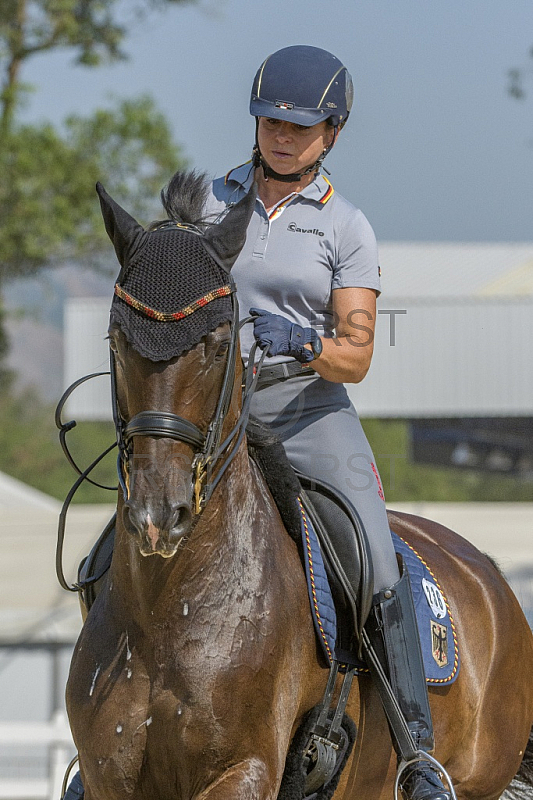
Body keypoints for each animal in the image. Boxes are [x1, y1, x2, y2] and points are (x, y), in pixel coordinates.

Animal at [65, 172, 532, 796]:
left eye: (219, 343)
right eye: (116, 340)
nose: (159, 516)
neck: (167, 610)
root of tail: (489, 575)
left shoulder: (244, 769)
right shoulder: (107, 776)